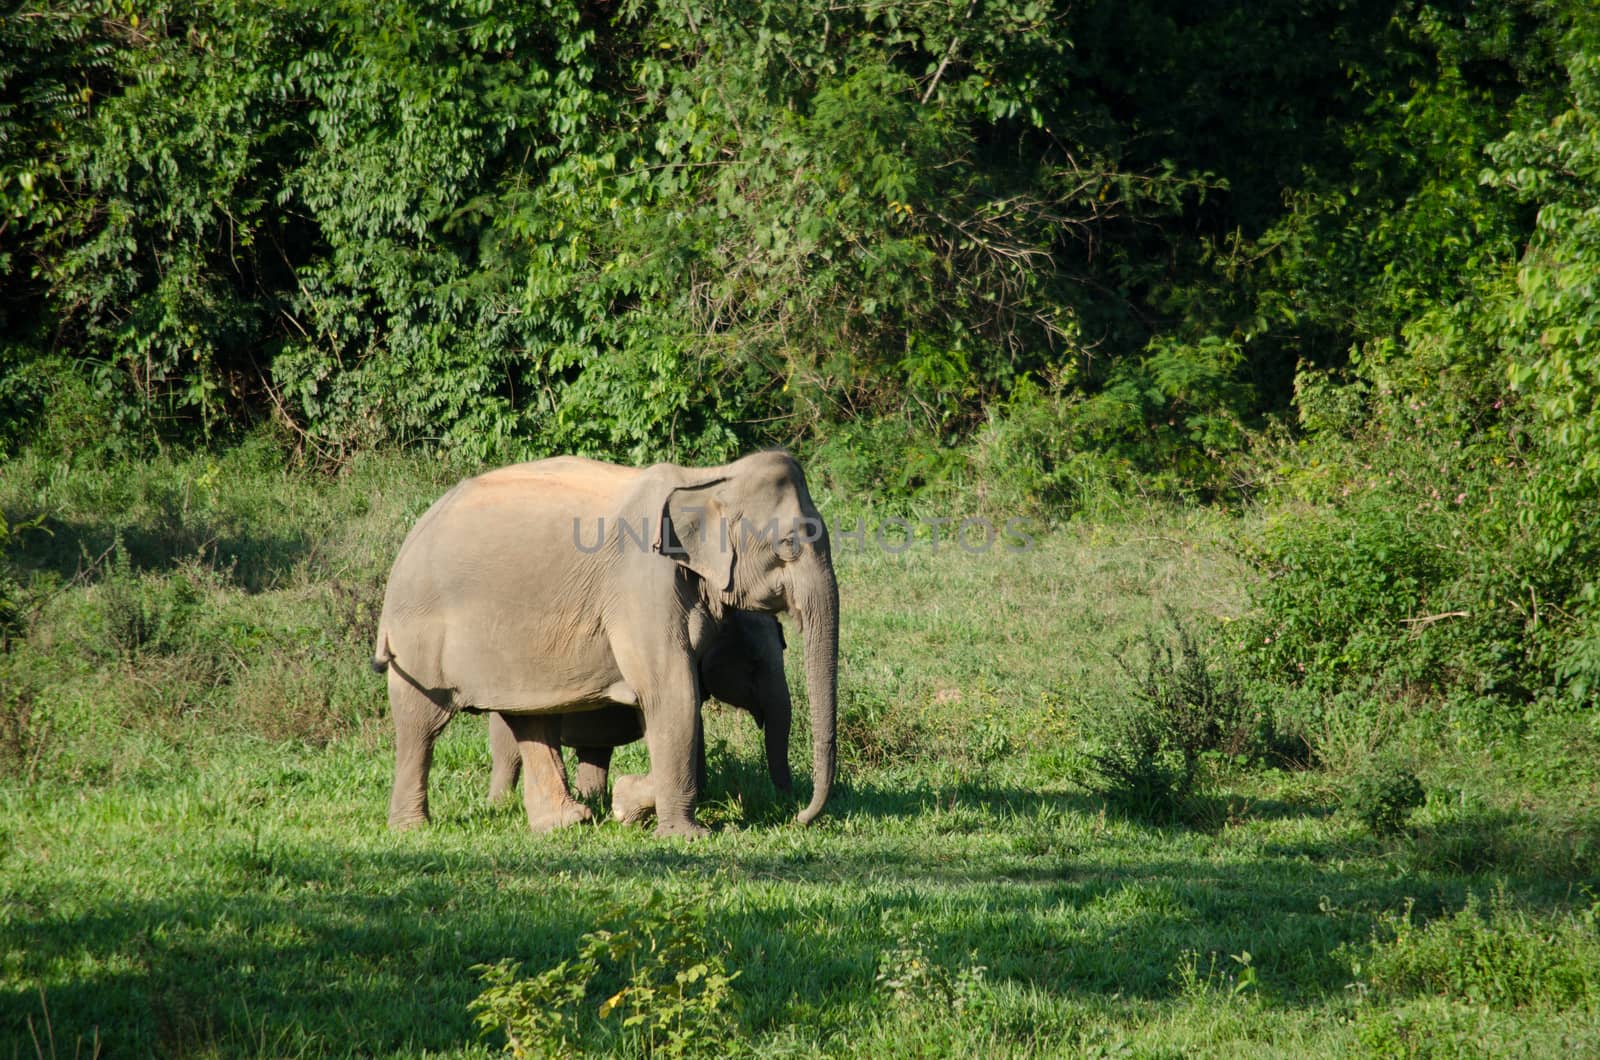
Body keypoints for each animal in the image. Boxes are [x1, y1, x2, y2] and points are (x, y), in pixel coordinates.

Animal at [483, 611, 790, 826]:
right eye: (752, 663)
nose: (785, 800)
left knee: (594, 753)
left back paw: (594, 800)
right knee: (508, 749)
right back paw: (499, 804)